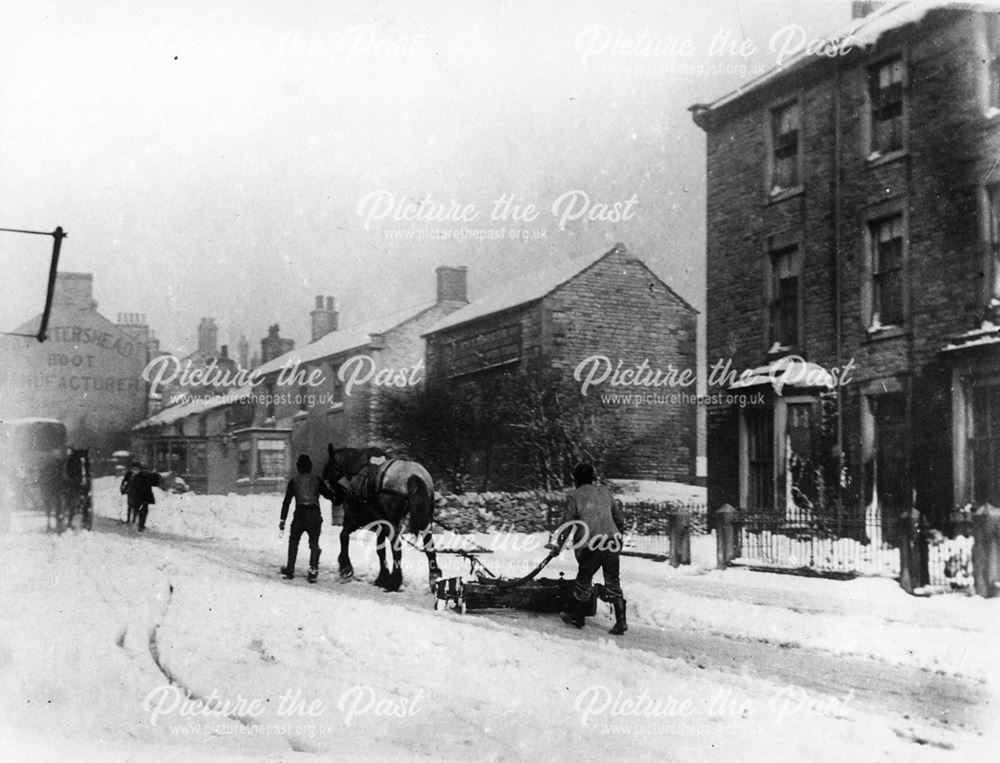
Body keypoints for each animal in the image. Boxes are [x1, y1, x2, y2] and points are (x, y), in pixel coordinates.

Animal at [324, 444, 442, 592]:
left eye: (330, 469)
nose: (333, 497)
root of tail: (415, 476)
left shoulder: (354, 519)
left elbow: (343, 536)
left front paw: (345, 567)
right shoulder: (380, 525)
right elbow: (380, 550)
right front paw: (382, 577)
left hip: (392, 522)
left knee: (397, 548)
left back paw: (395, 581)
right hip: (424, 519)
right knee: (429, 546)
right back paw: (434, 577)